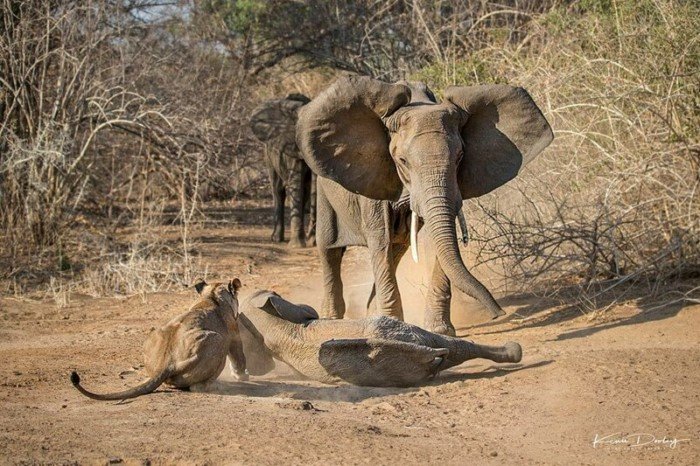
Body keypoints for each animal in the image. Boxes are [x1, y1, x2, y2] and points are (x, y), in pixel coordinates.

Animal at [250, 93, 316, 249]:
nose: (313, 241)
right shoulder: (291, 149)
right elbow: (295, 185)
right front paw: (297, 246)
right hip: (268, 155)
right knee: (278, 189)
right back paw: (276, 239)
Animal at [296, 76, 552, 334]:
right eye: (402, 161)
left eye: (460, 157)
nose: (498, 314)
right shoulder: (373, 178)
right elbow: (380, 239)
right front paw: (393, 327)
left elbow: (439, 240)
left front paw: (439, 330)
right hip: (324, 190)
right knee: (330, 248)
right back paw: (332, 318)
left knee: (397, 249)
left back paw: (371, 313)